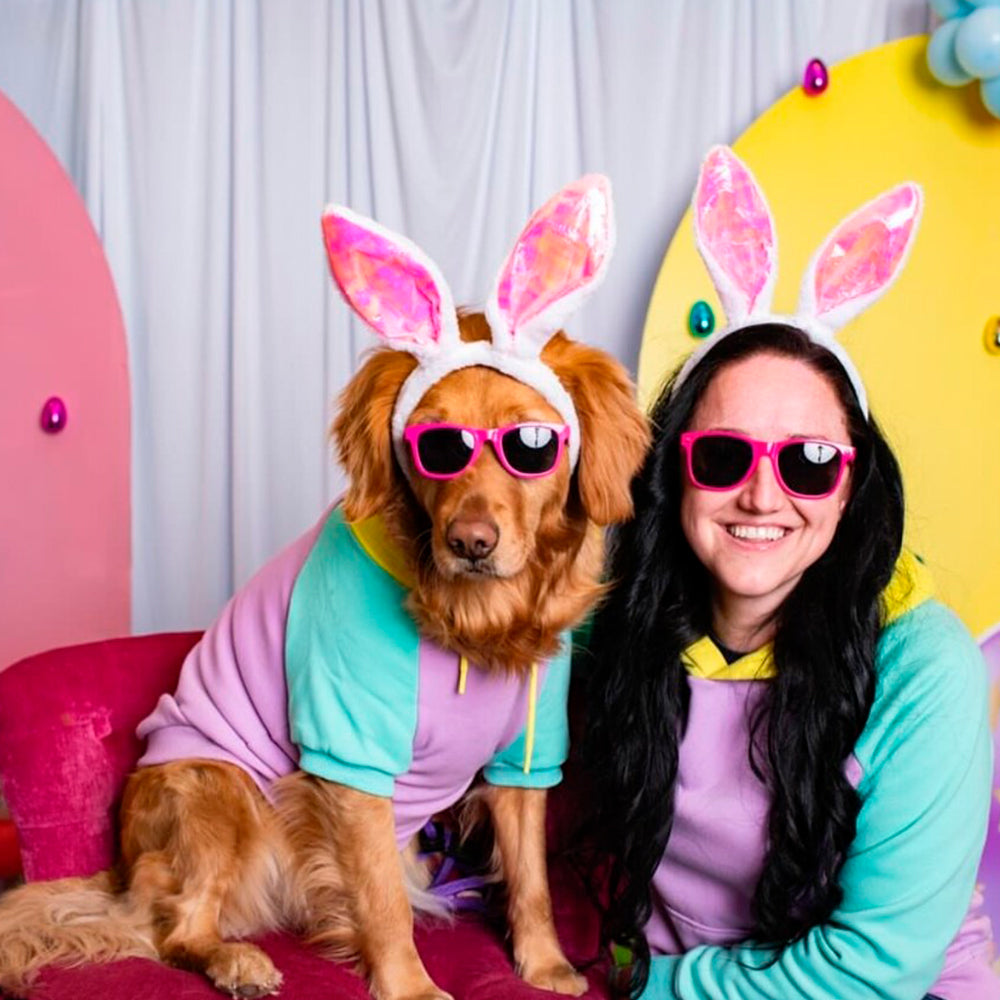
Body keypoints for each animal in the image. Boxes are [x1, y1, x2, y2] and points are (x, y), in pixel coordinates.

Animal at [0, 176, 648, 996]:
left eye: (532, 445)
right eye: (435, 447)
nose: (470, 543)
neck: (472, 625)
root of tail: (118, 873)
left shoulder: (528, 752)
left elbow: (530, 874)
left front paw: (546, 966)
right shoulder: (351, 751)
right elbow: (380, 896)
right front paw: (410, 985)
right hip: (218, 789)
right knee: (172, 929)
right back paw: (235, 960)